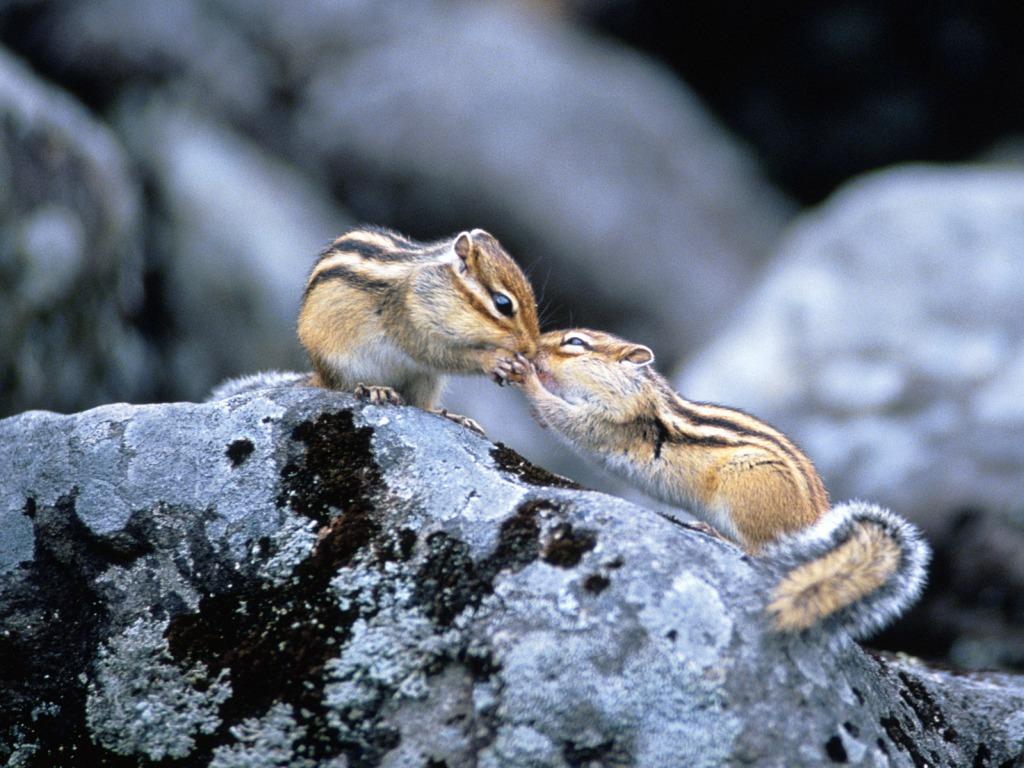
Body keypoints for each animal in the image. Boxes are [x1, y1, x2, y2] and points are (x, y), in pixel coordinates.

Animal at [210, 226, 540, 432]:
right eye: (503, 304)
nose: (532, 350)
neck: (439, 288)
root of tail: (319, 376)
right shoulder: (409, 321)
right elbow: (438, 354)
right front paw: (494, 360)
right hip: (346, 365)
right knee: (346, 388)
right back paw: (374, 389)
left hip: (427, 380)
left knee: (422, 405)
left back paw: (452, 416)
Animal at [495, 328, 929, 638]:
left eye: (575, 342)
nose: (532, 348)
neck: (642, 392)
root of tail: (816, 527)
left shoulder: (609, 420)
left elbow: (570, 421)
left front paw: (529, 379)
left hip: (746, 488)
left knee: (758, 551)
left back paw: (712, 532)